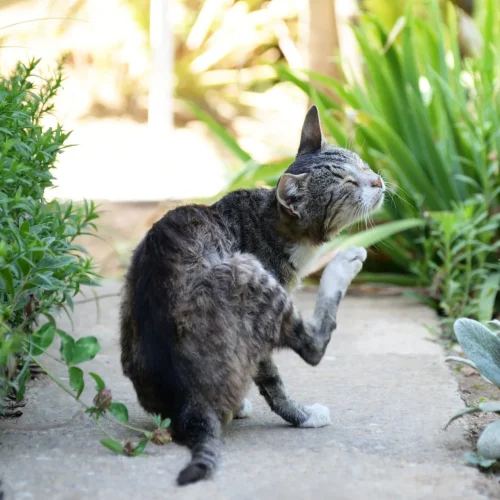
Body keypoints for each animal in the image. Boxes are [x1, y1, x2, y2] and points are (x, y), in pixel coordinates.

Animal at [119, 105, 384, 484]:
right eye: (348, 183)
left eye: (361, 165)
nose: (378, 180)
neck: (271, 221)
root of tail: (188, 406)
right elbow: (272, 378)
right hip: (248, 273)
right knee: (313, 347)